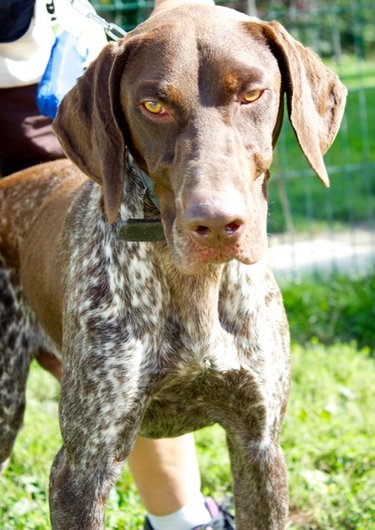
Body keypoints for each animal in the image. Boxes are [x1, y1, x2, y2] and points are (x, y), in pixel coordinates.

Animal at [0, 5, 346, 528]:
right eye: (153, 106)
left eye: (252, 94)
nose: (218, 223)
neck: (195, 288)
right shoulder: (81, 469)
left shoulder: (259, 446)